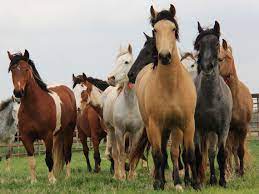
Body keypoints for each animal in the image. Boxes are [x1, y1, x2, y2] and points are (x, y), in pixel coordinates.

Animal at [7, 50, 77, 183]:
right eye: (12, 70)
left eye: (26, 69)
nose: (18, 92)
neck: (34, 108)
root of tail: (67, 90)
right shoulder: (26, 138)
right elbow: (32, 161)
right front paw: (33, 181)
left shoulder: (47, 136)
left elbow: (49, 158)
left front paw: (52, 180)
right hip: (57, 134)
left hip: (69, 131)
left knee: (67, 153)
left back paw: (68, 176)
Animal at [102, 44, 145, 180]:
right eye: (116, 61)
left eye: (126, 62)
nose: (110, 78)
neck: (130, 104)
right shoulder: (120, 130)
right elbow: (120, 153)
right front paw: (122, 177)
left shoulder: (136, 132)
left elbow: (132, 153)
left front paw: (131, 176)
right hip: (111, 130)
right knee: (115, 153)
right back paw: (116, 175)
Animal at [132, 4, 201, 191]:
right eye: (155, 30)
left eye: (173, 29)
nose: (164, 56)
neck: (171, 87)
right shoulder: (155, 125)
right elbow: (157, 155)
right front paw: (158, 183)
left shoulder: (185, 124)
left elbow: (186, 153)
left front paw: (191, 183)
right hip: (154, 128)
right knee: (159, 153)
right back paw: (160, 180)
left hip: (170, 129)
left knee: (171, 152)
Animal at [219, 39, 254, 177]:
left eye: (220, 59)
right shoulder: (226, 129)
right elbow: (226, 151)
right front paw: (226, 172)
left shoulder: (243, 128)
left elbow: (240, 151)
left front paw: (241, 172)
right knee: (230, 150)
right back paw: (229, 168)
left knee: (235, 149)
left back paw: (237, 168)